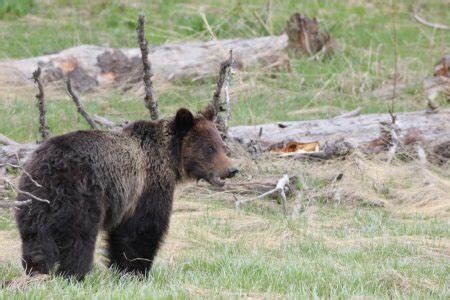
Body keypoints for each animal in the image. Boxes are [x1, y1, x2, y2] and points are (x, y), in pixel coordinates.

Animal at [14, 104, 239, 280]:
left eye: (222, 145)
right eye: (209, 148)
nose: (232, 169)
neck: (169, 158)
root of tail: (49, 167)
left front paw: (121, 269)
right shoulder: (147, 187)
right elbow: (143, 230)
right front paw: (137, 271)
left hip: (33, 200)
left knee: (35, 238)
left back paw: (37, 270)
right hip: (81, 195)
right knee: (79, 238)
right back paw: (74, 274)